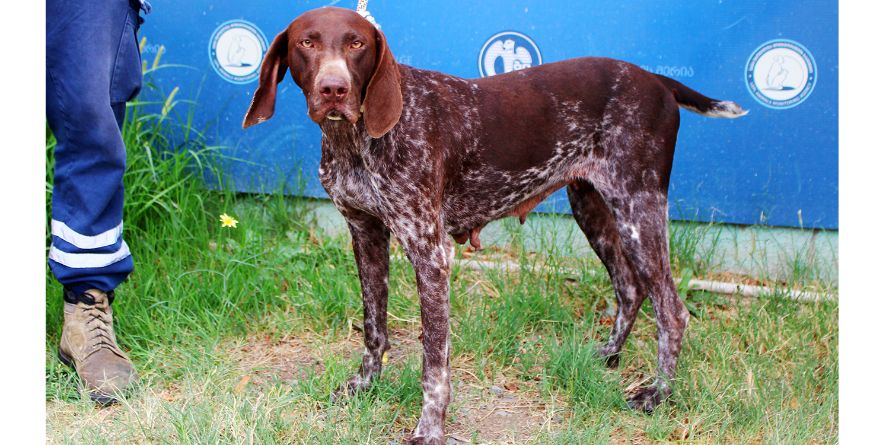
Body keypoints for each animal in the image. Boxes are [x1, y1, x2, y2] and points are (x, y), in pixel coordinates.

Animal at [245, 6, 748, 444]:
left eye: (357, 44)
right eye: (307, 42)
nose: (334, 89)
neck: (356, 140)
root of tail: (656, 80)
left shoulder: (431, 253)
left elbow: (434, 364)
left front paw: (429, 429)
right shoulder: (365, 234)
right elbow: (374, 328)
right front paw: (364, 386)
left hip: (638, 207)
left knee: (672, 310)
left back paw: (658, 393)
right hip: (592, 205)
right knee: (629, 287)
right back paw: (608, 356)